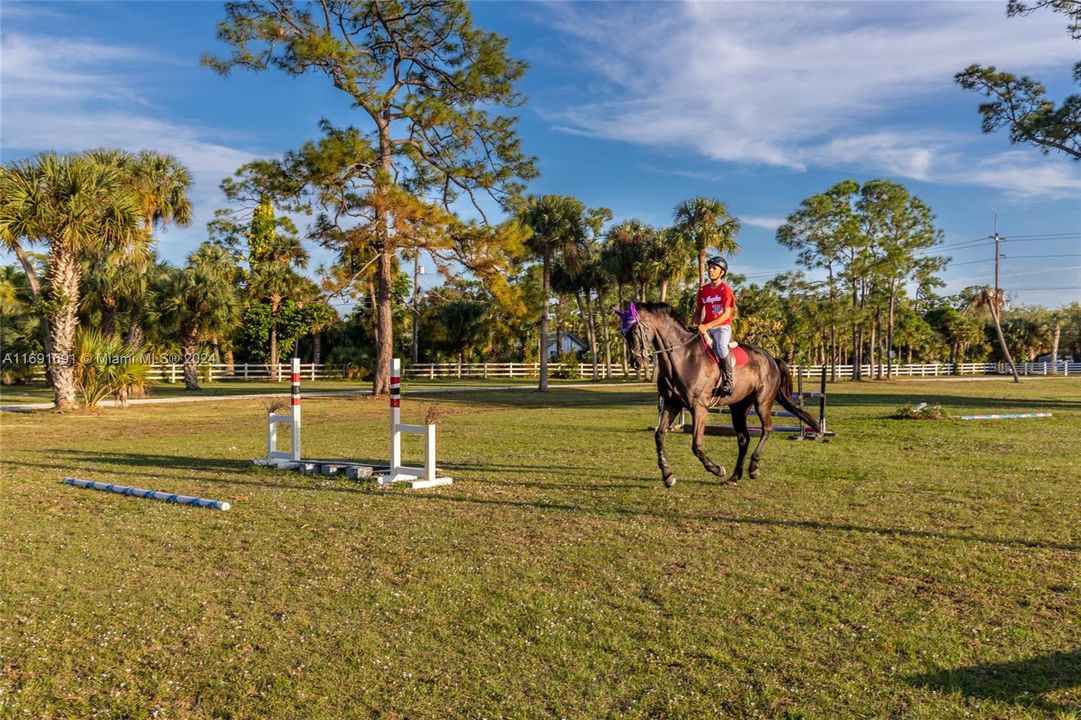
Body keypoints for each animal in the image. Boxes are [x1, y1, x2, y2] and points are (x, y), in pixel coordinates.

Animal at [618, 296, 817, 488]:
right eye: (624, 334)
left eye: (635, 331)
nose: (637, 363)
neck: (682, 358)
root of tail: (771, 358)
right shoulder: (672, 404)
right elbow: (659, 435)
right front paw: (668, 476)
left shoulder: (699, 408)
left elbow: (696, 445)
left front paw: (717, 469)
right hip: (738, 407)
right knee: (743, 438)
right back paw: (735, 476)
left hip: (762, 403)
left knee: (767, 429)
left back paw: (753, 468)